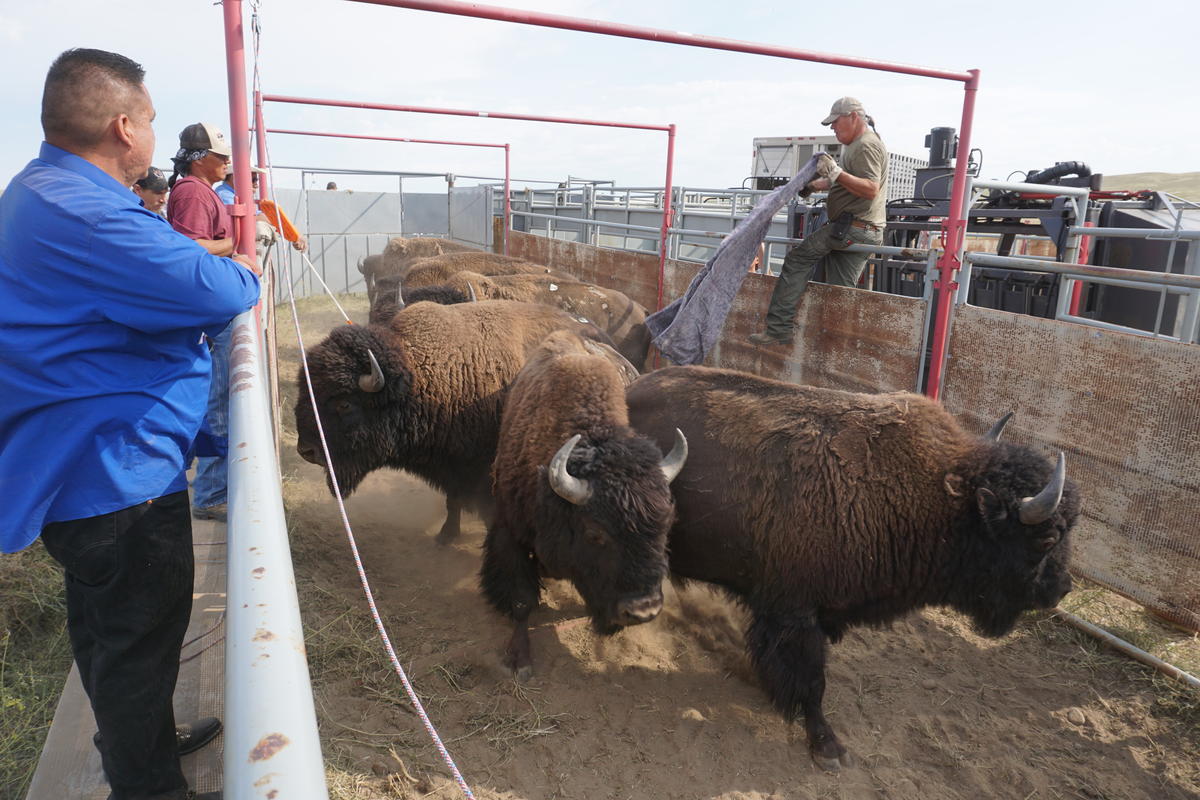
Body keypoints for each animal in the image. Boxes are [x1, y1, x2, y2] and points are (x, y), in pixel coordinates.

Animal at [295, 300, 616, 543]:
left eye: (344, 403)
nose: (306, 450)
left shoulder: (482, 472)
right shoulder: (452, 465)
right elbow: (453, 501)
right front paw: (446, 536)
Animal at [483, 330, 685, 678]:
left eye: (665, 526)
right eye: (595, 534)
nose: (643, 610)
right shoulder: (511, 533)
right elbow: (522, 600)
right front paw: (519, 661)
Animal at [625, 366, 1079, 772]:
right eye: (1046, 539)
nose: (1062, 589)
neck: (940, 500)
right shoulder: (795, 614)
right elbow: (812, 681)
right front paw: (829, 749)